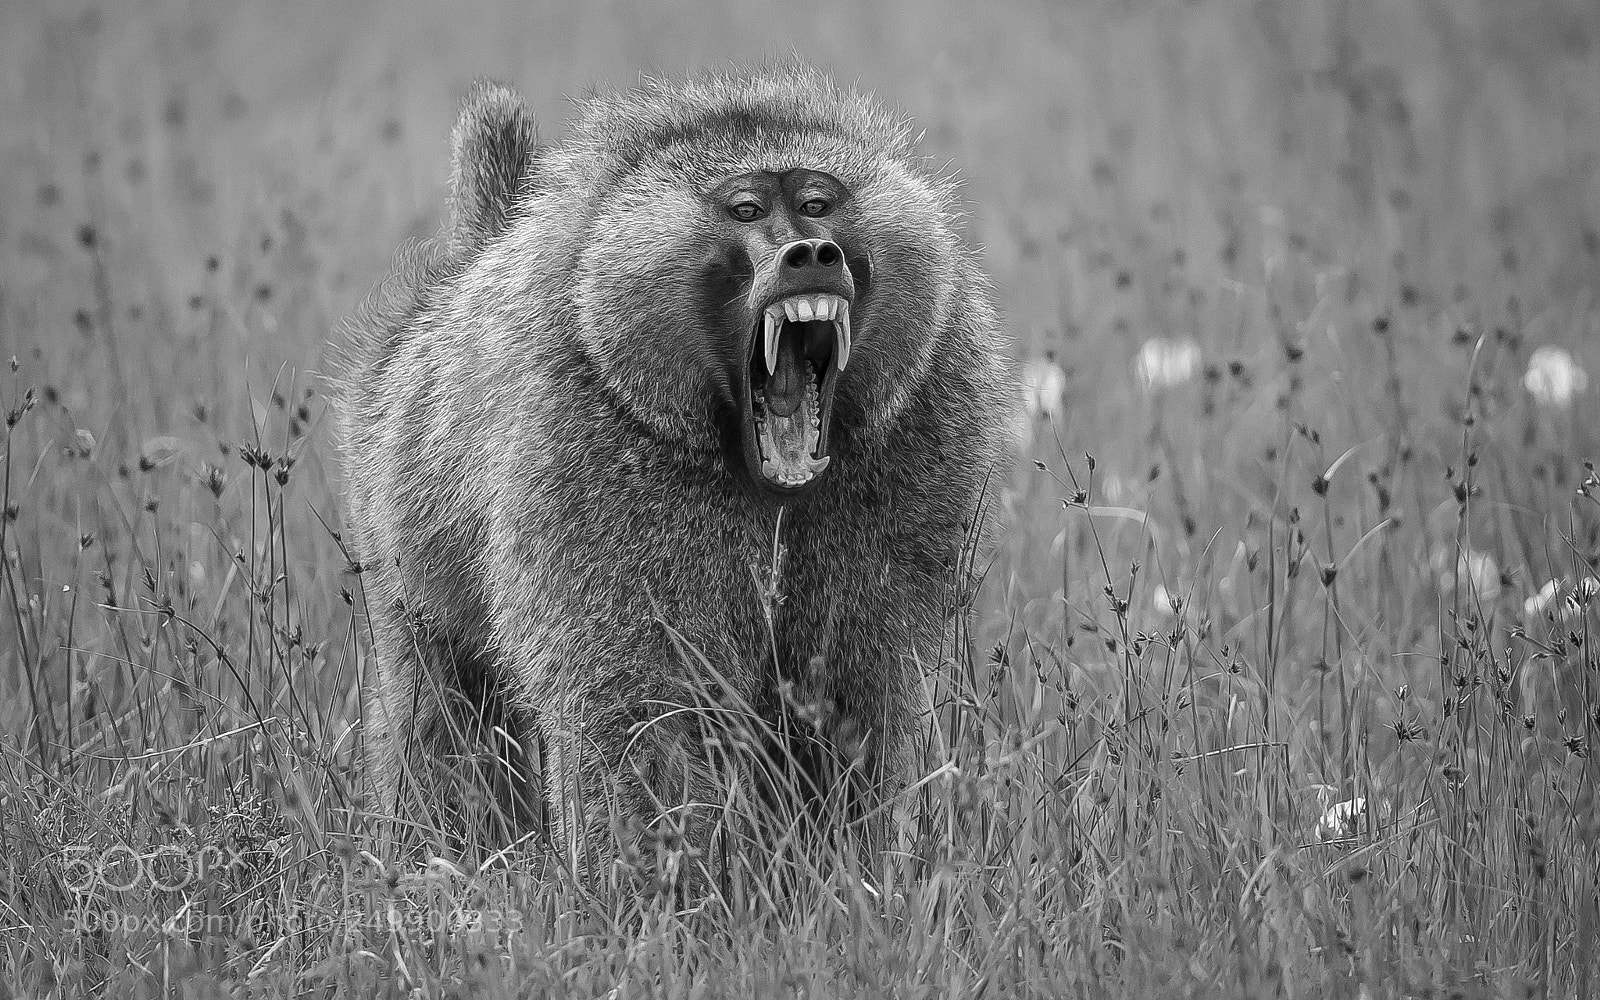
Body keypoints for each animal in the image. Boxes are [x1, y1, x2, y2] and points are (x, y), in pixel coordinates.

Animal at [334, 64, 1011, 885]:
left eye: (817, 203)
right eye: (746, 209)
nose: (813, 253)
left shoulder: (920, 431)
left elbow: (847, 697)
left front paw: (845, 880)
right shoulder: (589, 472)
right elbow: (640, 716)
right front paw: (661, 900)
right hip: (400, 528)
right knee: (439, 707)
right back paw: (439, 858)